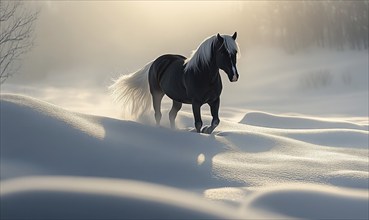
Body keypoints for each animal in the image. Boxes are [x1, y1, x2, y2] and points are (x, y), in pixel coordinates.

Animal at [109, 31, 240, 133]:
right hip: (156, 94)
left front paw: (207, 130)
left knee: (171, 115)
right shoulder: (196, 103)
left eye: (235, 53)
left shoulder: (215, 101)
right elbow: (198, 123)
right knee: (158, 114)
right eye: (222, 52)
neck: (203, 75)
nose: (234, 76)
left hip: (177, 99)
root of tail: (155, 62)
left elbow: (216, 121)